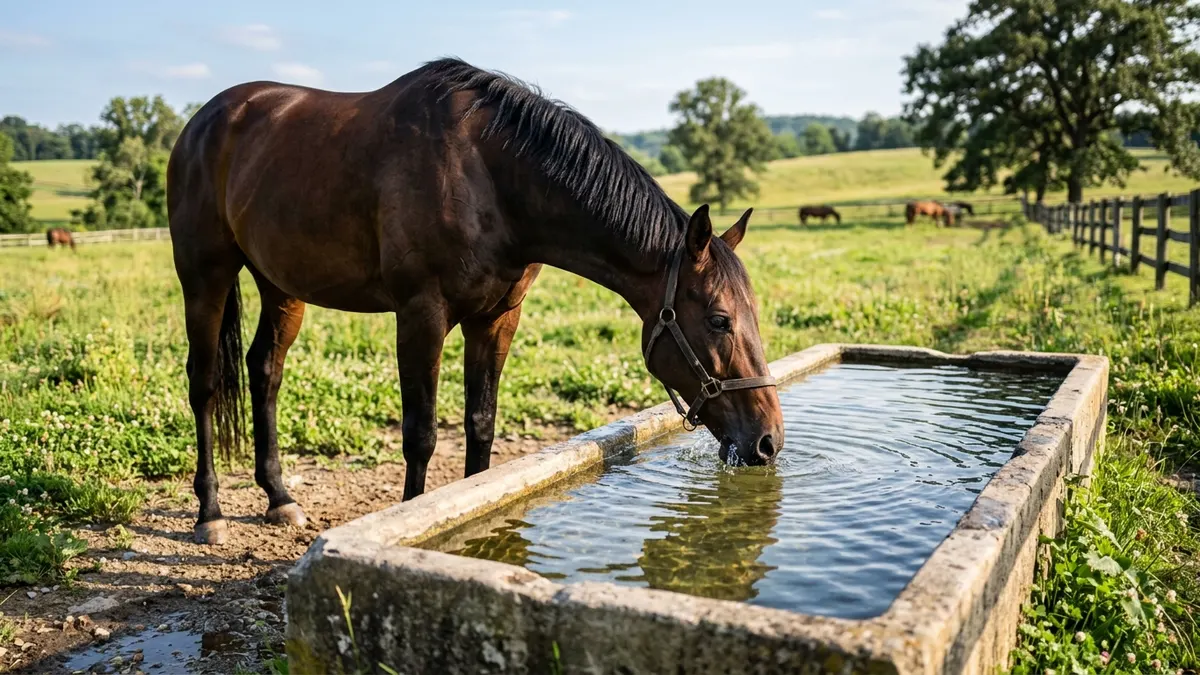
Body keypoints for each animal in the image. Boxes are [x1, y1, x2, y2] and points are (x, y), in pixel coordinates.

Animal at [168, 58, 785, 545]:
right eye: (720, 319)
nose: (768, 441)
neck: (488, 176)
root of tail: (206, 120)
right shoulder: (421, 315)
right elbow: (421, 435)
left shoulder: (497, 319)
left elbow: (481, 425)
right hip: (205, 276)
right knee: (204, 382)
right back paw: (210, 513)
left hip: (281, 287)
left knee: (265, 372)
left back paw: (279, 499)